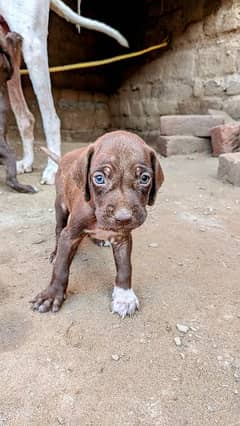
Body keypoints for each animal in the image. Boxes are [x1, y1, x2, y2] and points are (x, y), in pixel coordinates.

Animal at [31, 131, 164, 318]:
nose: (123, 218)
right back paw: (56, 252)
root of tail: (64, 158)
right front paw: (52, 294)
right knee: (58, 229)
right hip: (61, 206)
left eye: (145, 178)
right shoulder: (70, 235)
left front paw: (124, 296)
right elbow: (61, 268)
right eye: (99, 178)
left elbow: (125, 268)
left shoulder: (122, 238)